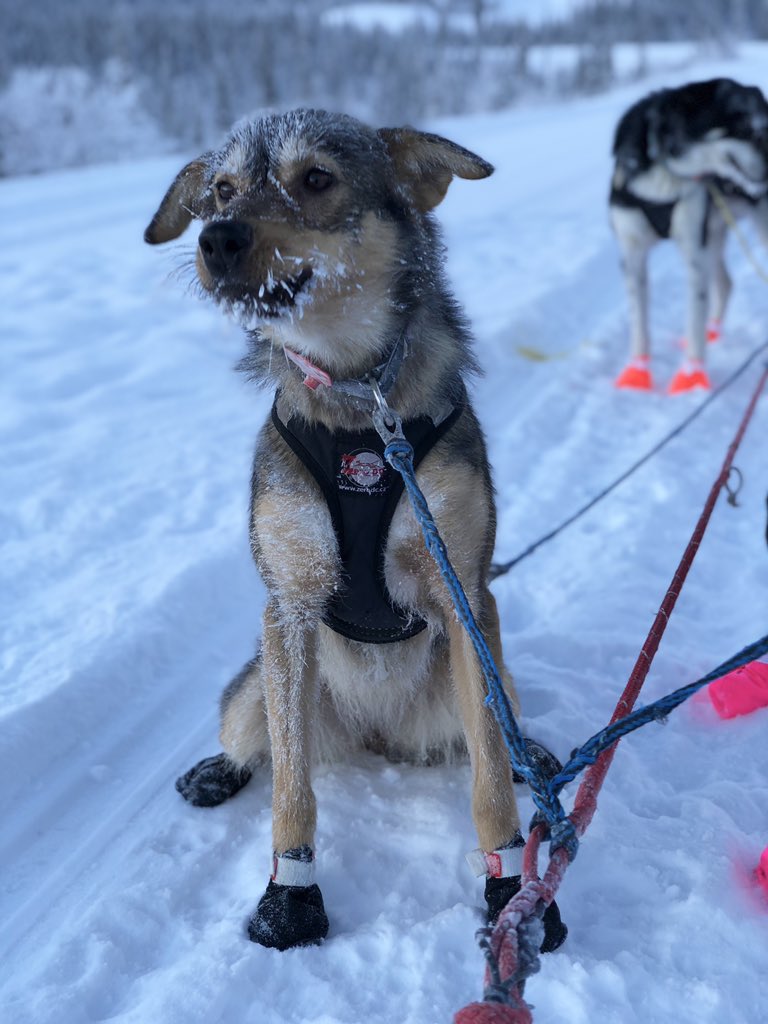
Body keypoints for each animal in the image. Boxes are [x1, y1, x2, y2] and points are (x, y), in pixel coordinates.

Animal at [144, 105, 569, 950]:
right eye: (221, 189)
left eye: (315, 178)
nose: (217, 238)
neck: (357, 405)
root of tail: (381, 738)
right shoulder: (290, 606)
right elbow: (291, 789)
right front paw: (291, 897)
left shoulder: (464, 596)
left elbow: (490, 789)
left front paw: (512, 893)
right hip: (256, 685)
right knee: (259, 743)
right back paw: (216, 770)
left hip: (487, 667)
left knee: (498, 737)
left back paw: (530, 753)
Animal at [606, 77, 768, 391]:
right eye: (747, 130)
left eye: (764, 130)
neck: (664, 171)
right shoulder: (632, 254)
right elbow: (639, 321)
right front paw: (637, 372)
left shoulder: (694, 250)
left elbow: (693, 316)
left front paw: (691, 377)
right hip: (714, 232)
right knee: (725, 282)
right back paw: (713, 330)